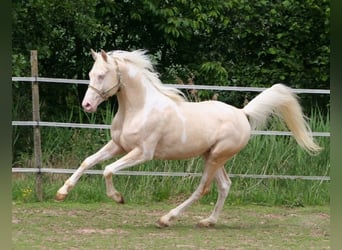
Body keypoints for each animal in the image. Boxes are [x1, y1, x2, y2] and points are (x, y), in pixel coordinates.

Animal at [55, 49, 320, 228]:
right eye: (91, 74)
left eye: (102, 75)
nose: (87, 106)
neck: (139, 108)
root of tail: (242, 113)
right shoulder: (118, 145)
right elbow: (88, 161)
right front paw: (62, 193)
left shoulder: (143, 153)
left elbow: (108, 169)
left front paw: (118, 198)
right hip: (212, 156)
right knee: (225, 186)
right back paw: (208, 221)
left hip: (216, 157)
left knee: (203, 188)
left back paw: (166, 219)